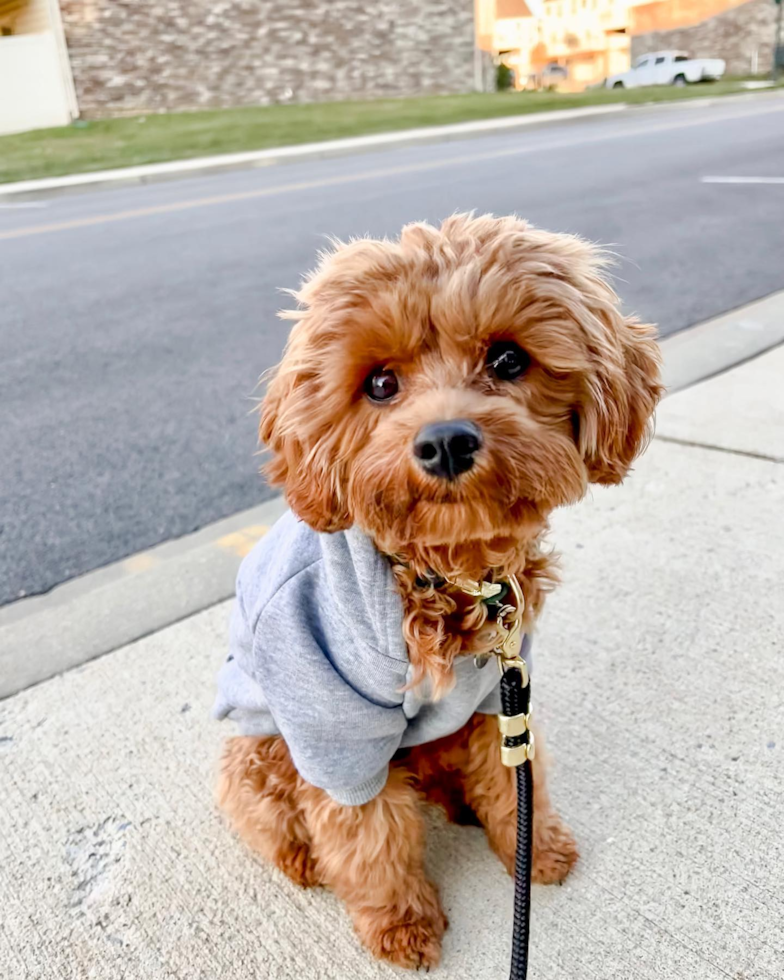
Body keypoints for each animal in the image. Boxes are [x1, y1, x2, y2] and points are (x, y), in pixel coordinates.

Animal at [214, 211, 660, 968]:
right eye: (379, 383)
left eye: (508, 360)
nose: (445, 441)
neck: (446, 570)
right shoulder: (336, 727)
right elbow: (366, 834)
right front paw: (401, 923)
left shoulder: (498, 694)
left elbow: (511, 779)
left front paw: (533, 850)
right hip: (260, 750)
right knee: (272, 815)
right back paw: (303, 860)